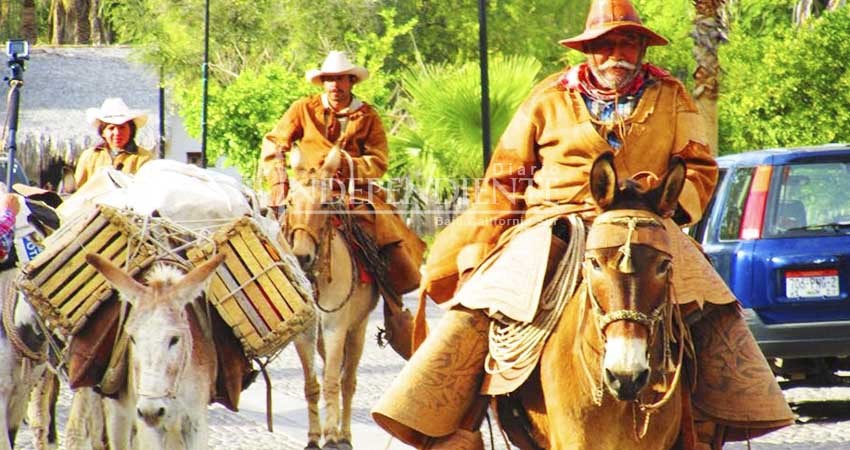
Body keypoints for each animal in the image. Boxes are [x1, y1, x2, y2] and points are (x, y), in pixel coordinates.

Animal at [83, 253, 225, 450]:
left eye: (175, 339)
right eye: (132, 338)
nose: (151, 411)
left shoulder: (196, 421)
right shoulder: (146, 424)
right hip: (118, 416)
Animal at [282, 149, 378, 450]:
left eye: (324, 204)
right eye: (290, 201)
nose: (301, 256)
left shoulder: (336, 327)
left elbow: (333, 382)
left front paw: (332, 437)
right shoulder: (304, 332)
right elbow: (313, 385)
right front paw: (314, 436)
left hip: (357, 329)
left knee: (347, 381)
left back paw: (344, 434)